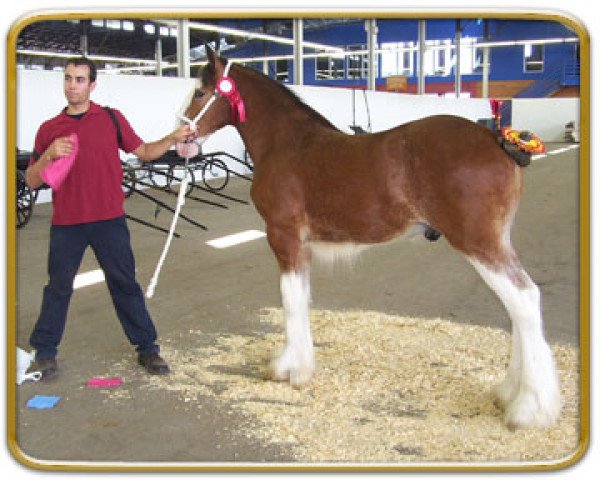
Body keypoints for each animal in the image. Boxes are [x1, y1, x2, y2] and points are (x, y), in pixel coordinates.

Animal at [182, 48, 564, 430]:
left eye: (199, 93)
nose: (183, 142)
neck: (288, 144)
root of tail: (497, 141)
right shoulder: (301, 246)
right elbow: (302, 298)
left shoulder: (283, 237)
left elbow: (291, 301)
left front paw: (290, 370)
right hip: (497, 242)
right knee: (519, 307)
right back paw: (509, 393)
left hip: (479, 243)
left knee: (524, 301)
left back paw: (528, 409)